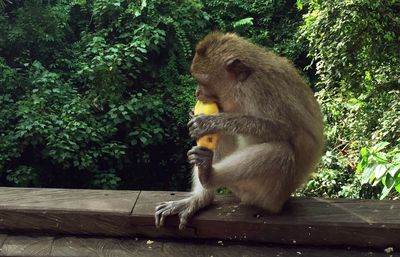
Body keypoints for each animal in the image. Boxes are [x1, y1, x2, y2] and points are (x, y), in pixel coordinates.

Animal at [155, 31, 324, 229]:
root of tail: (282, 201)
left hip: (268, 193)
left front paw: (211, 122)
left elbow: (287, 129)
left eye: (202, 82)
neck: (241, 83)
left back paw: (209, 176)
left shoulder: (258, 87)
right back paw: (201, 197)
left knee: (280, 151)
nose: (197, 93)